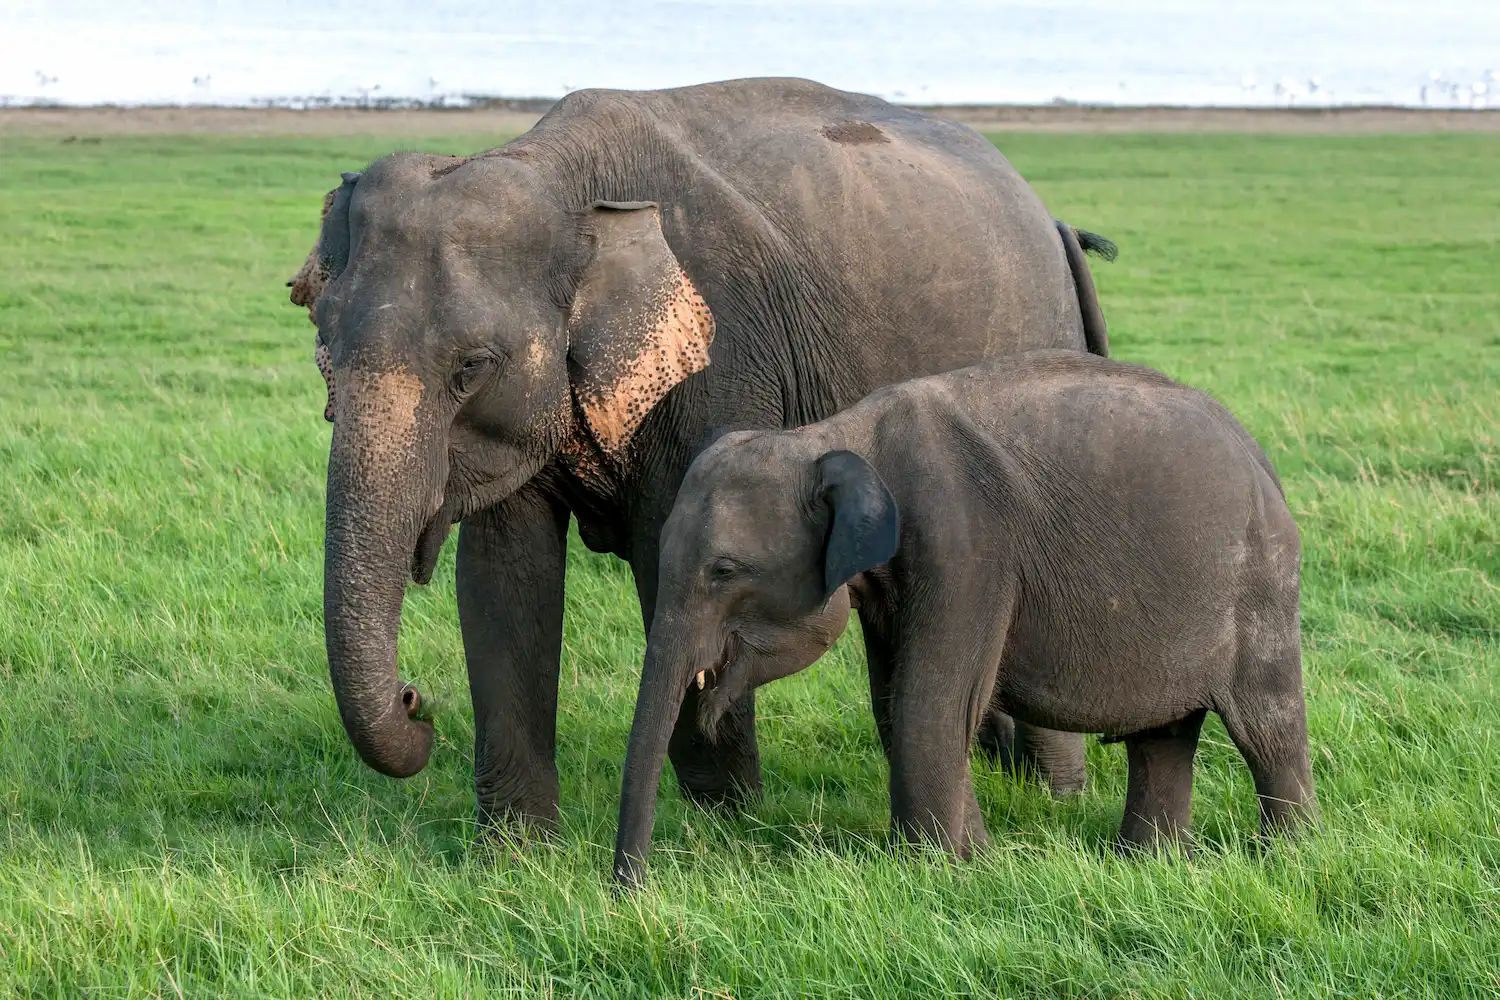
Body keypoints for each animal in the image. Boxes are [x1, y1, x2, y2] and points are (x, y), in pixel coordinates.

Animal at [285, 77, 1117, 832]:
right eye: (324, 351)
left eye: (471, 368)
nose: (416, 702)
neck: (558, 172)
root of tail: (1052, 221)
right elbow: (501, 577)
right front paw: (517, 854)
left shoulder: (724, 360)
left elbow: (670, 561)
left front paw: (726, 826)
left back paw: (1052, 795)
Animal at [614, 350, 1316, 886]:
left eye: (723, 570)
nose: (633, 890)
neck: (833, 436)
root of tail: (1264, 462)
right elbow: (896, 699)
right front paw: (974, 860)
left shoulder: (966, 546)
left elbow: (933, 701)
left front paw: (938, 872)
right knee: (1163, 735)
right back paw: (1149, 863)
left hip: (1259, 587)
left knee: (1267, 728)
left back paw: (1288, 857)